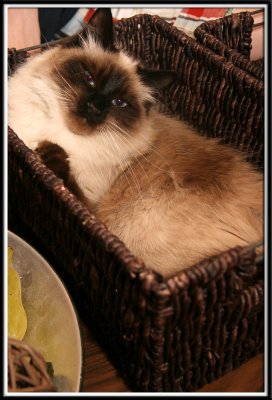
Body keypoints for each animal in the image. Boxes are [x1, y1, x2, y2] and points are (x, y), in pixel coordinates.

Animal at [8, 7, 264, 276]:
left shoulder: (91, 207)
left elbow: (68, 183)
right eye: (89, 78)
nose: (94, 108)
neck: (59, 129)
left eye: (118, 103)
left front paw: (48, 151)